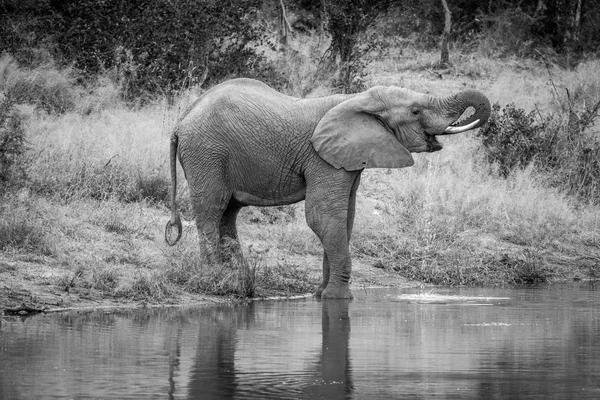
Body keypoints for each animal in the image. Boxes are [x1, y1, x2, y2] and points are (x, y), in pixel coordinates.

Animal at [163, 78, 488, 298]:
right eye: (417, 111)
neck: (357, 99)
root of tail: (180, 122)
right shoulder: (321, 158)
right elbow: (323, 217)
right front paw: (338, 298)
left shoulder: (347, 159)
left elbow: (345, 219)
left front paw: (321, 295)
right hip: (206, 153)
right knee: (211, 211)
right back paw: (215, 280)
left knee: (228, 213)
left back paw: (238, 282)